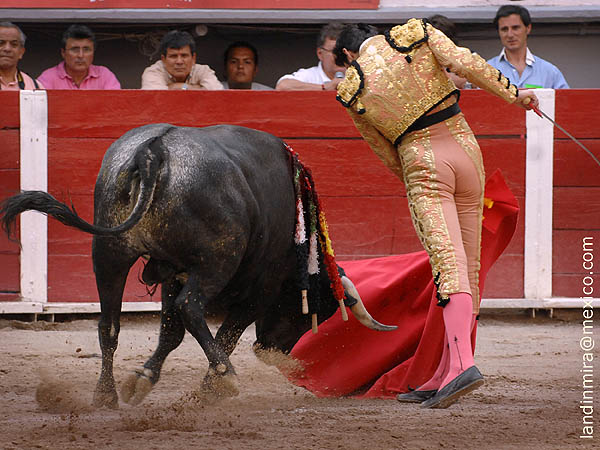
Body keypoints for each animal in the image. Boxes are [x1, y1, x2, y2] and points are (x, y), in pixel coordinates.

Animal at [1, 123, 398, 408]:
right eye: (313, 310)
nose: (270, 352)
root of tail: (153, 150)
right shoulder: (259, 287)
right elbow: (226, 332)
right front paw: (212, 386)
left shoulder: (172, 274)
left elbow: (170, 333)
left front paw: (143, 378)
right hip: (215, 263)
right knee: (192, 309)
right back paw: (227, 376)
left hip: (110, 254)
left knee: (109, 325)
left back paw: (106, 395)